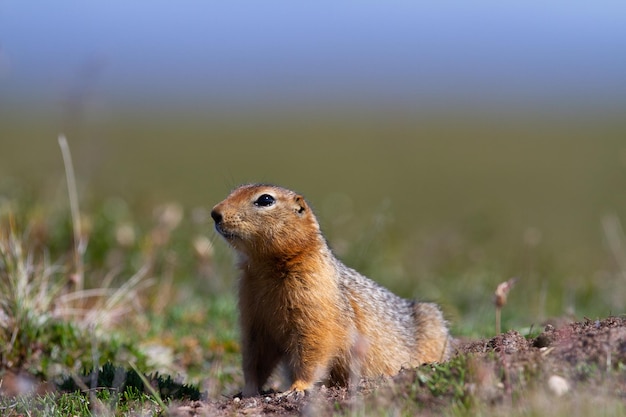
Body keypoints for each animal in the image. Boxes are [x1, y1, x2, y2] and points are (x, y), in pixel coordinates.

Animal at [210, 184, 448, 394]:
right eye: (233, 191)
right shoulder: (251, 308)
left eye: (265, 199)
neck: (266, 268)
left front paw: (298, 388)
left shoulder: (314, 295)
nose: (215, 213)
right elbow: (255, 353)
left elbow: (314, 344)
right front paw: (247, 390)